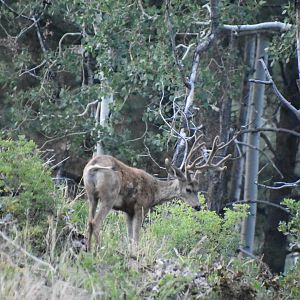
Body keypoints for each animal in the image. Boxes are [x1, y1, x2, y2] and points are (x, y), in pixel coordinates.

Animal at [82, 135, 230, 252]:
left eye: (198, 189)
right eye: (188, 189)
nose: (198, 206)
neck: (154, 193)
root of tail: (93, 165)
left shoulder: (128, 210)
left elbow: (130, 237)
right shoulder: (141, 206)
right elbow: (136, 236)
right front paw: (135, 255)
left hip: (91, 195)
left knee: (89, 221)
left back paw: (88, 250)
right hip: (109, 196)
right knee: (96, 223)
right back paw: (99, 251)